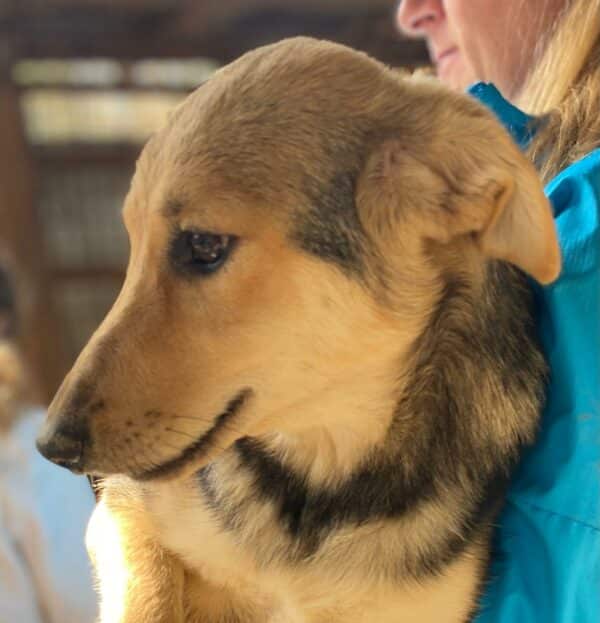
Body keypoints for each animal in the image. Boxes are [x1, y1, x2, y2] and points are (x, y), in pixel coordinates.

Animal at [38, 36, 556, 620]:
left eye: (203, 245)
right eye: (132, 246)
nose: (51, 446)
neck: (319, 467)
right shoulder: (124, 514)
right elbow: (148, 598)